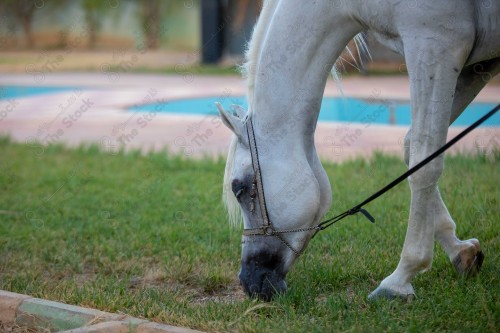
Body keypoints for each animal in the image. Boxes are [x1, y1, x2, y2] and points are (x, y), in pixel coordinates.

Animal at [217, 0, 498, 300]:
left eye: (240, 188)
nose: (248, 281)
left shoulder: (435, 46)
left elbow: (424, 164)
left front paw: (400, 278)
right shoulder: (475, 63)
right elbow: (413, 148)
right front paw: (459, 249)